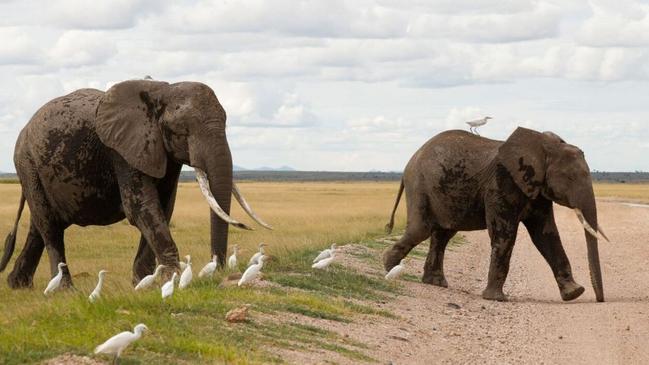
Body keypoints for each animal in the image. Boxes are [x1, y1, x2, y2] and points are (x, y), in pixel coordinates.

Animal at [0, 79, 270, 288]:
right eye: (182, 130)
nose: (220, 270)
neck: (161, 91)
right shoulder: (122, 151)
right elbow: (141, 208)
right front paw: (172, 279)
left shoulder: (162, 152)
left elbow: (163, 207)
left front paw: (143, 283)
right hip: (27, 163)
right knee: (50, 226)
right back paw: (65, 290)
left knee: (40, 225)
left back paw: (18, 285)